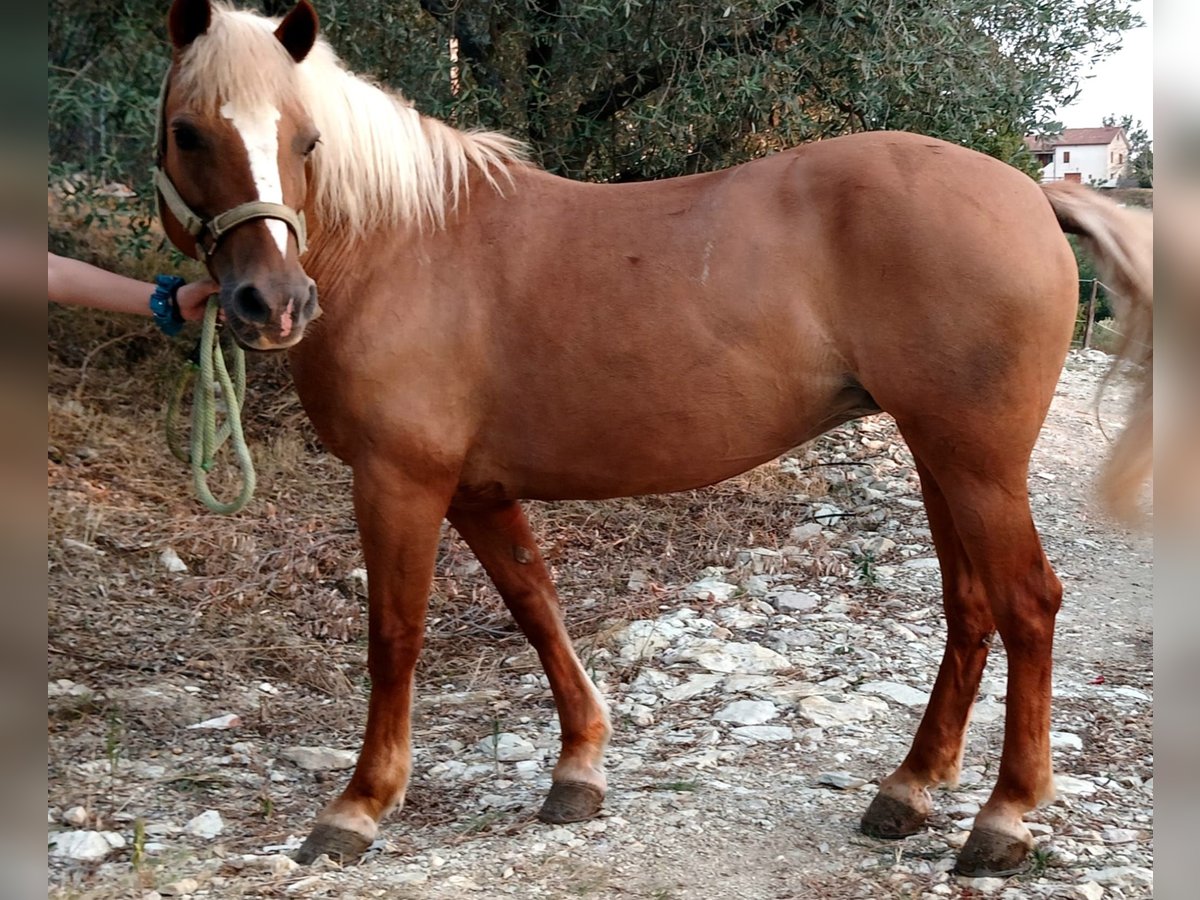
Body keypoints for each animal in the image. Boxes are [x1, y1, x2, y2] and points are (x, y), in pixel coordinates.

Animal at [154, 0, 1147, 878]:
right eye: (188, 133)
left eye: (305, 140)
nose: (272, 304)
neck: (406, 243)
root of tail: (1031, 191)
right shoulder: (477, 489)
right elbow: (536, 605)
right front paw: (579, 768)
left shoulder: (399, 481)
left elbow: (394, 635)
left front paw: (358, 807)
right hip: (941, 456)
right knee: (970, 608)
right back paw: (907, 790)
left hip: (978, 464)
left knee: (1027, 605)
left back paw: (1004, 818)